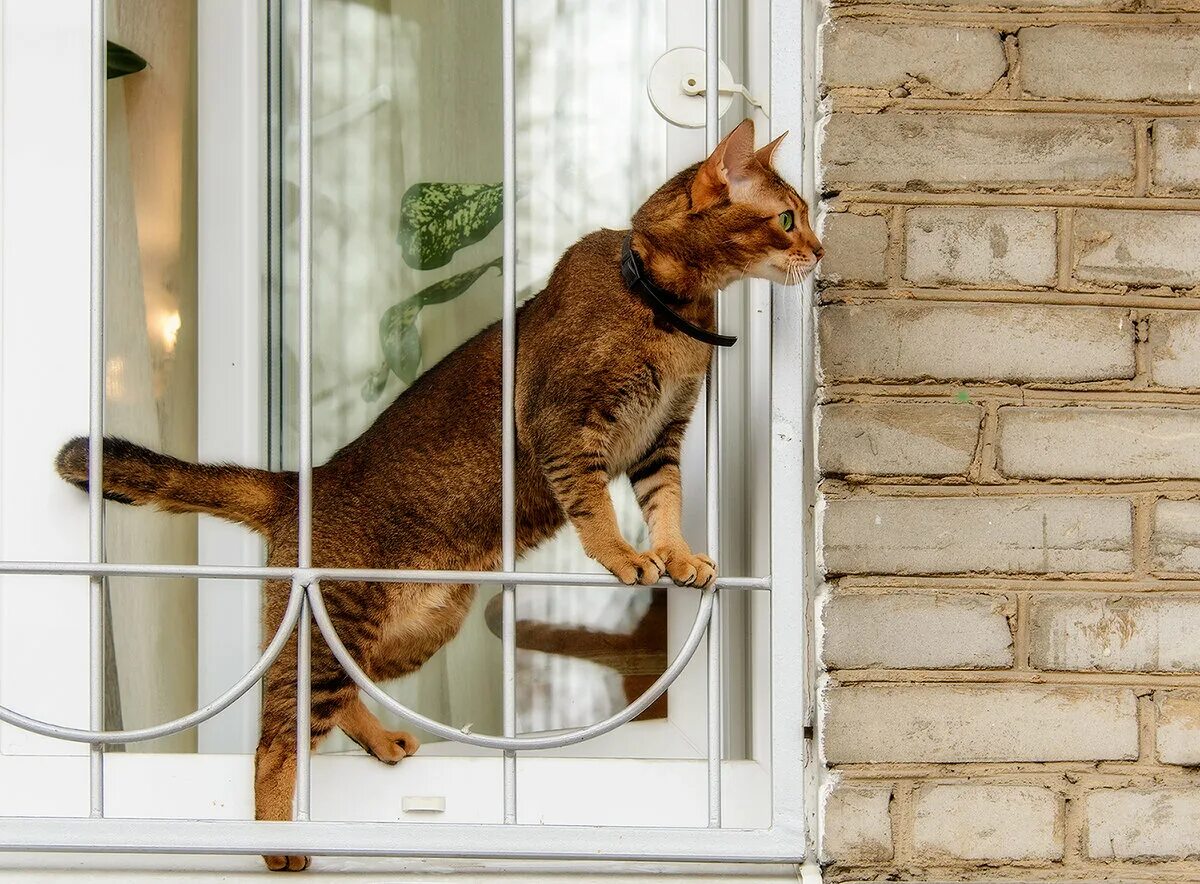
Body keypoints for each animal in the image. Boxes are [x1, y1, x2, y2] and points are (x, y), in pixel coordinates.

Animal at [58, 118, 825, 868]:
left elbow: (665, 501)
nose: (818, 251)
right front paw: (623, 554)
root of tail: (303, 484)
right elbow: (593, 505)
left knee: (343, 689)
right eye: (787, 218)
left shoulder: (660, 438)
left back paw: (380, 738)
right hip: (335, 611)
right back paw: (279, 845)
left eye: (807, 218)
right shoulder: (563, 424)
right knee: (275, 741)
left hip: (420, 625)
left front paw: (679, 555)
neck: (666, 306)